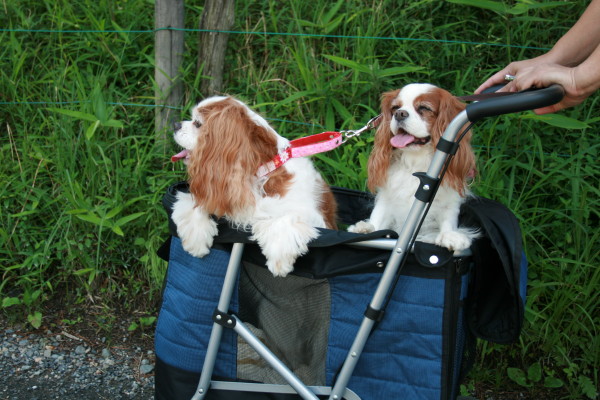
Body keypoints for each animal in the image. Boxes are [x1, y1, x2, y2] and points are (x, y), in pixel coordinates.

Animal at [170, 97, 338, 278]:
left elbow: (286, 217)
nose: (176, 124)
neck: (261, 173)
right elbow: (196, 204)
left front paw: (279, 261)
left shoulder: (316, 218)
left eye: (198, 123)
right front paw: (196, 240)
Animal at [350, 83, 476, 252]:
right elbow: (378, 215)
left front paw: (450, 236)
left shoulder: (449, 199)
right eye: (395, 108)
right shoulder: (387, 198)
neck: (415, 160)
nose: (399, 114)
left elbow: (448, 216)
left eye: (424, 108)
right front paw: (367, 229)